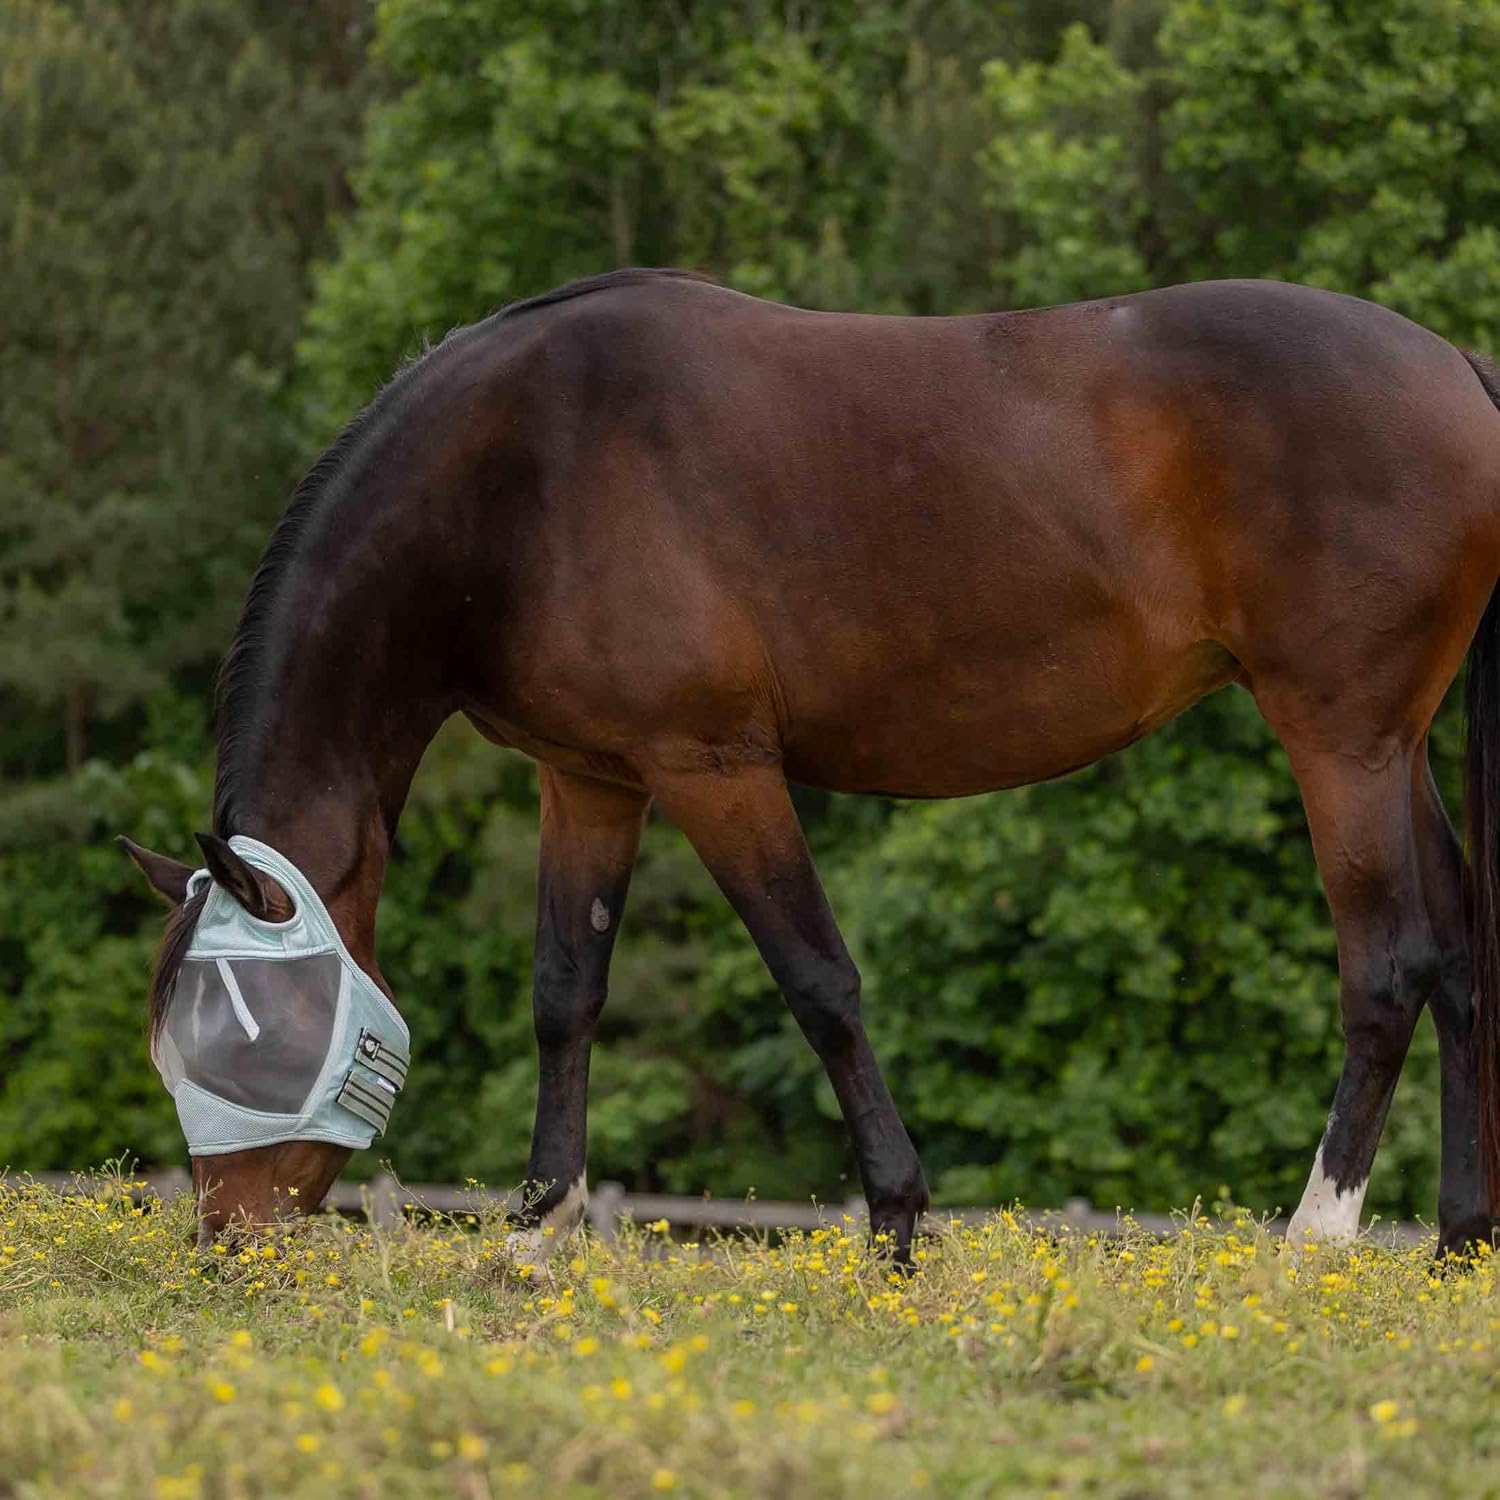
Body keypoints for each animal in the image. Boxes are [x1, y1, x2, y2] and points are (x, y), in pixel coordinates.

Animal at [121, 267, 1500, 1258]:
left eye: (248, 1035)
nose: (226, 1244)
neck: (527, 473)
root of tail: (1458, 370)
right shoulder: (594, 779)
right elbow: (567, 991)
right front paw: (541, 1228)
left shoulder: (716, 768)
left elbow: (819, 982)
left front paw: (895, 1224)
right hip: (1395, 748)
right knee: (1460, 955)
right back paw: (1458, 1242)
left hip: (1339, 738)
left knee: (1388, 965)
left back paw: (1318, 1237)